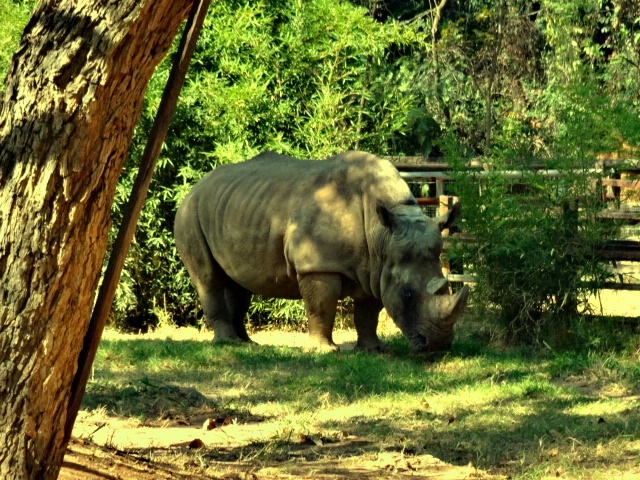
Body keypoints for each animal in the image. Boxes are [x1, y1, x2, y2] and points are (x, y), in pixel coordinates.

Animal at [174, 151, 469, 352]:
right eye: (407, 294)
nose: (439, 345)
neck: (382, 235)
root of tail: (195, 186)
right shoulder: (317, 264)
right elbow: (321, 306)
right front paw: (325, 351)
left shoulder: (377, 267)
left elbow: (369, 311)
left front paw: (373, 349)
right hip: (189, 213)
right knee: (208, 278)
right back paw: (228, 343)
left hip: (233, 206)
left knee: (238, 282)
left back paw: (247, 344)